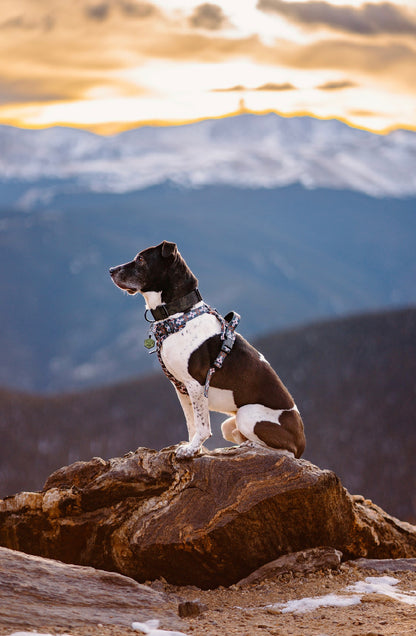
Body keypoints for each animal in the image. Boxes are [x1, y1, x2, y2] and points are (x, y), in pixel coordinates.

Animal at [109, 241, 306, 460]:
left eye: (141, 259)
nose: (110, 270)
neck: (179, 315)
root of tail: (302, 441)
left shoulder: (195, 385)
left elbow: (202, 427)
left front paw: (191, 450)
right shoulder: (181, 388)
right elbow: (192, 424)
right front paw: (194, 448)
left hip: (247, 414)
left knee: (285, 452)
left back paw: (253, 447)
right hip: (229, 425)